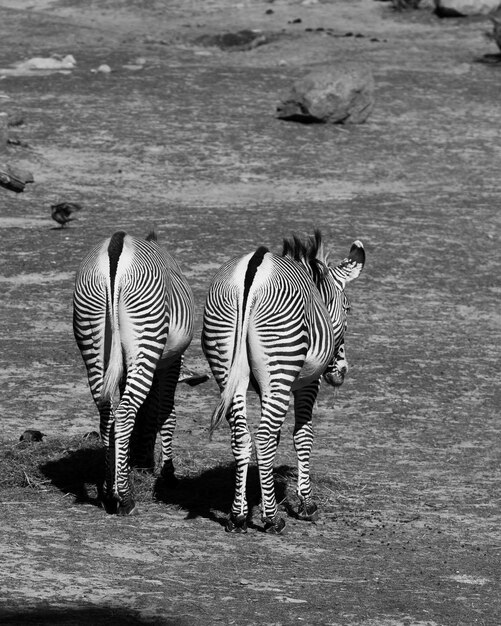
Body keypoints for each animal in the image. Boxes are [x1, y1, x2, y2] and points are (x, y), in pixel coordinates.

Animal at [73, 229, 194, 512]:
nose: (141, 462)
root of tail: (116, 246)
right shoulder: (172, 362)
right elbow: (166, 413)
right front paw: (167, 474)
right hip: (146, 332)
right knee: (126, 411)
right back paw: (125, 498)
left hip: (92, 336)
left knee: (107, 412)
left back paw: (109, 492)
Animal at [201, 229, 366, 532]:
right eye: (348, 309)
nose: (341, 371)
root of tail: (250, 276)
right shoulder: (307, 383)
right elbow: (302, 435)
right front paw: (305, 503)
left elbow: (276, 437)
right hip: (281, 362)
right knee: (263, 437)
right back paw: (272, 519)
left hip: (226, 365)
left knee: (242, 437)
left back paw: (238, 516)